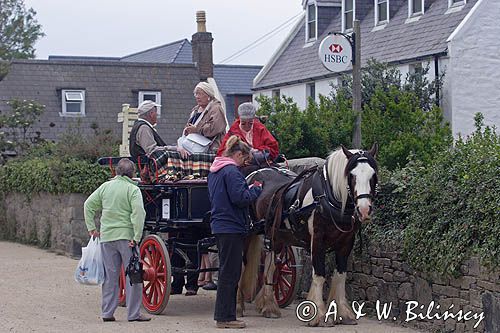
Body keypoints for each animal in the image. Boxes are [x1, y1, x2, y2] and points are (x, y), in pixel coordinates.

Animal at [240, 144, 376, 326]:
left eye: (373, 175)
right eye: (351, 175)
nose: (364, 209)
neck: (328, 197)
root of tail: (255, 173)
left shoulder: (347, 243)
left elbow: (340, 276)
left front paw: (343, 313)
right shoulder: (317, 240)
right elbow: (319, 274)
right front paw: (319, 314)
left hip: (276, 236)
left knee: (271, 266)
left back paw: (268, 306)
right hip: (247, 233)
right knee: (242, 264)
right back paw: (239, 305)